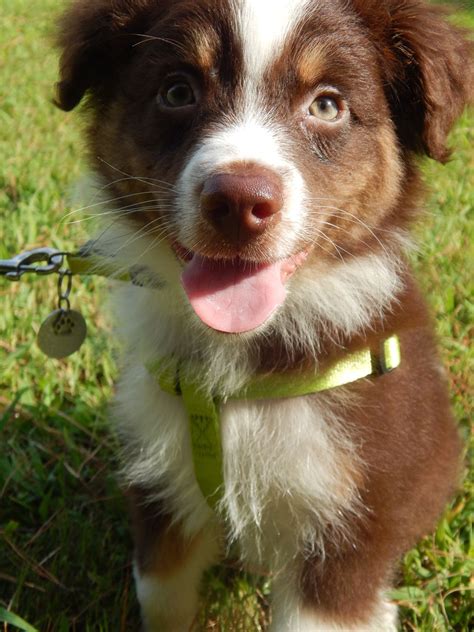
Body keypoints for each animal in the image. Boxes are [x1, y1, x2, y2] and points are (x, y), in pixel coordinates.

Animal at [54, 1, 470, 632]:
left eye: (327, 104)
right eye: (177, 91)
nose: (239, 203)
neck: (242, 358)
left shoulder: (350, 521)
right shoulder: (160, 483)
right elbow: (163, 594)